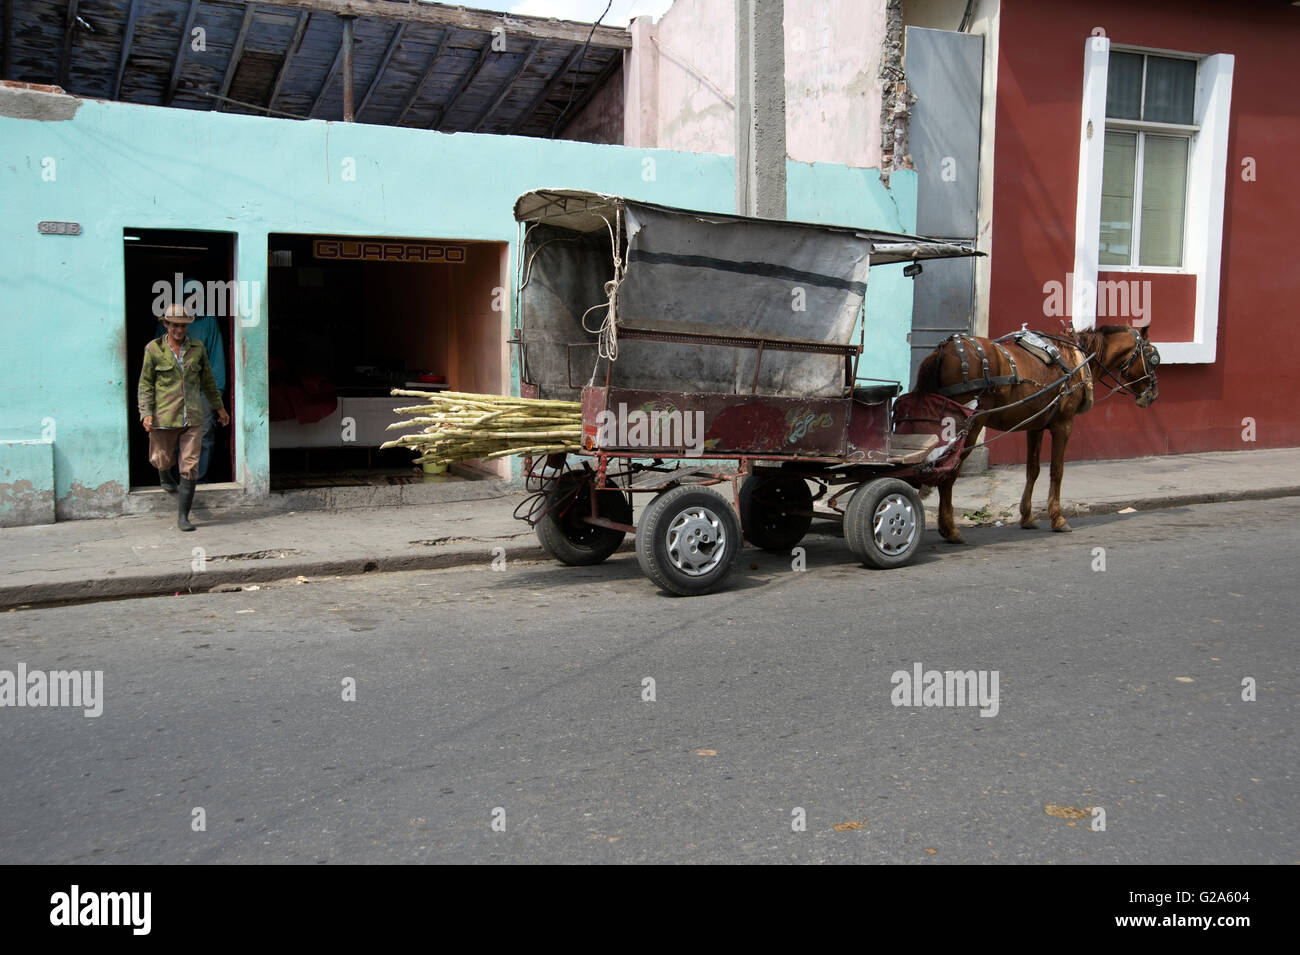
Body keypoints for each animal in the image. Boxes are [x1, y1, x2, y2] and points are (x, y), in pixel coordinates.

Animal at [909, 324, 1164, 540]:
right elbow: (1057, 471)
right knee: (949, 472)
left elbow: (1032, 470)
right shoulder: (1064, 424)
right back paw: (950, 529)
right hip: (970, 423)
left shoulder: (1036, 426)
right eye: (1153, 359)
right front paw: (1058, 519)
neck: (1076, 359)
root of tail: (945, 350)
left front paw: (1027, 516)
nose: (1153, 394)